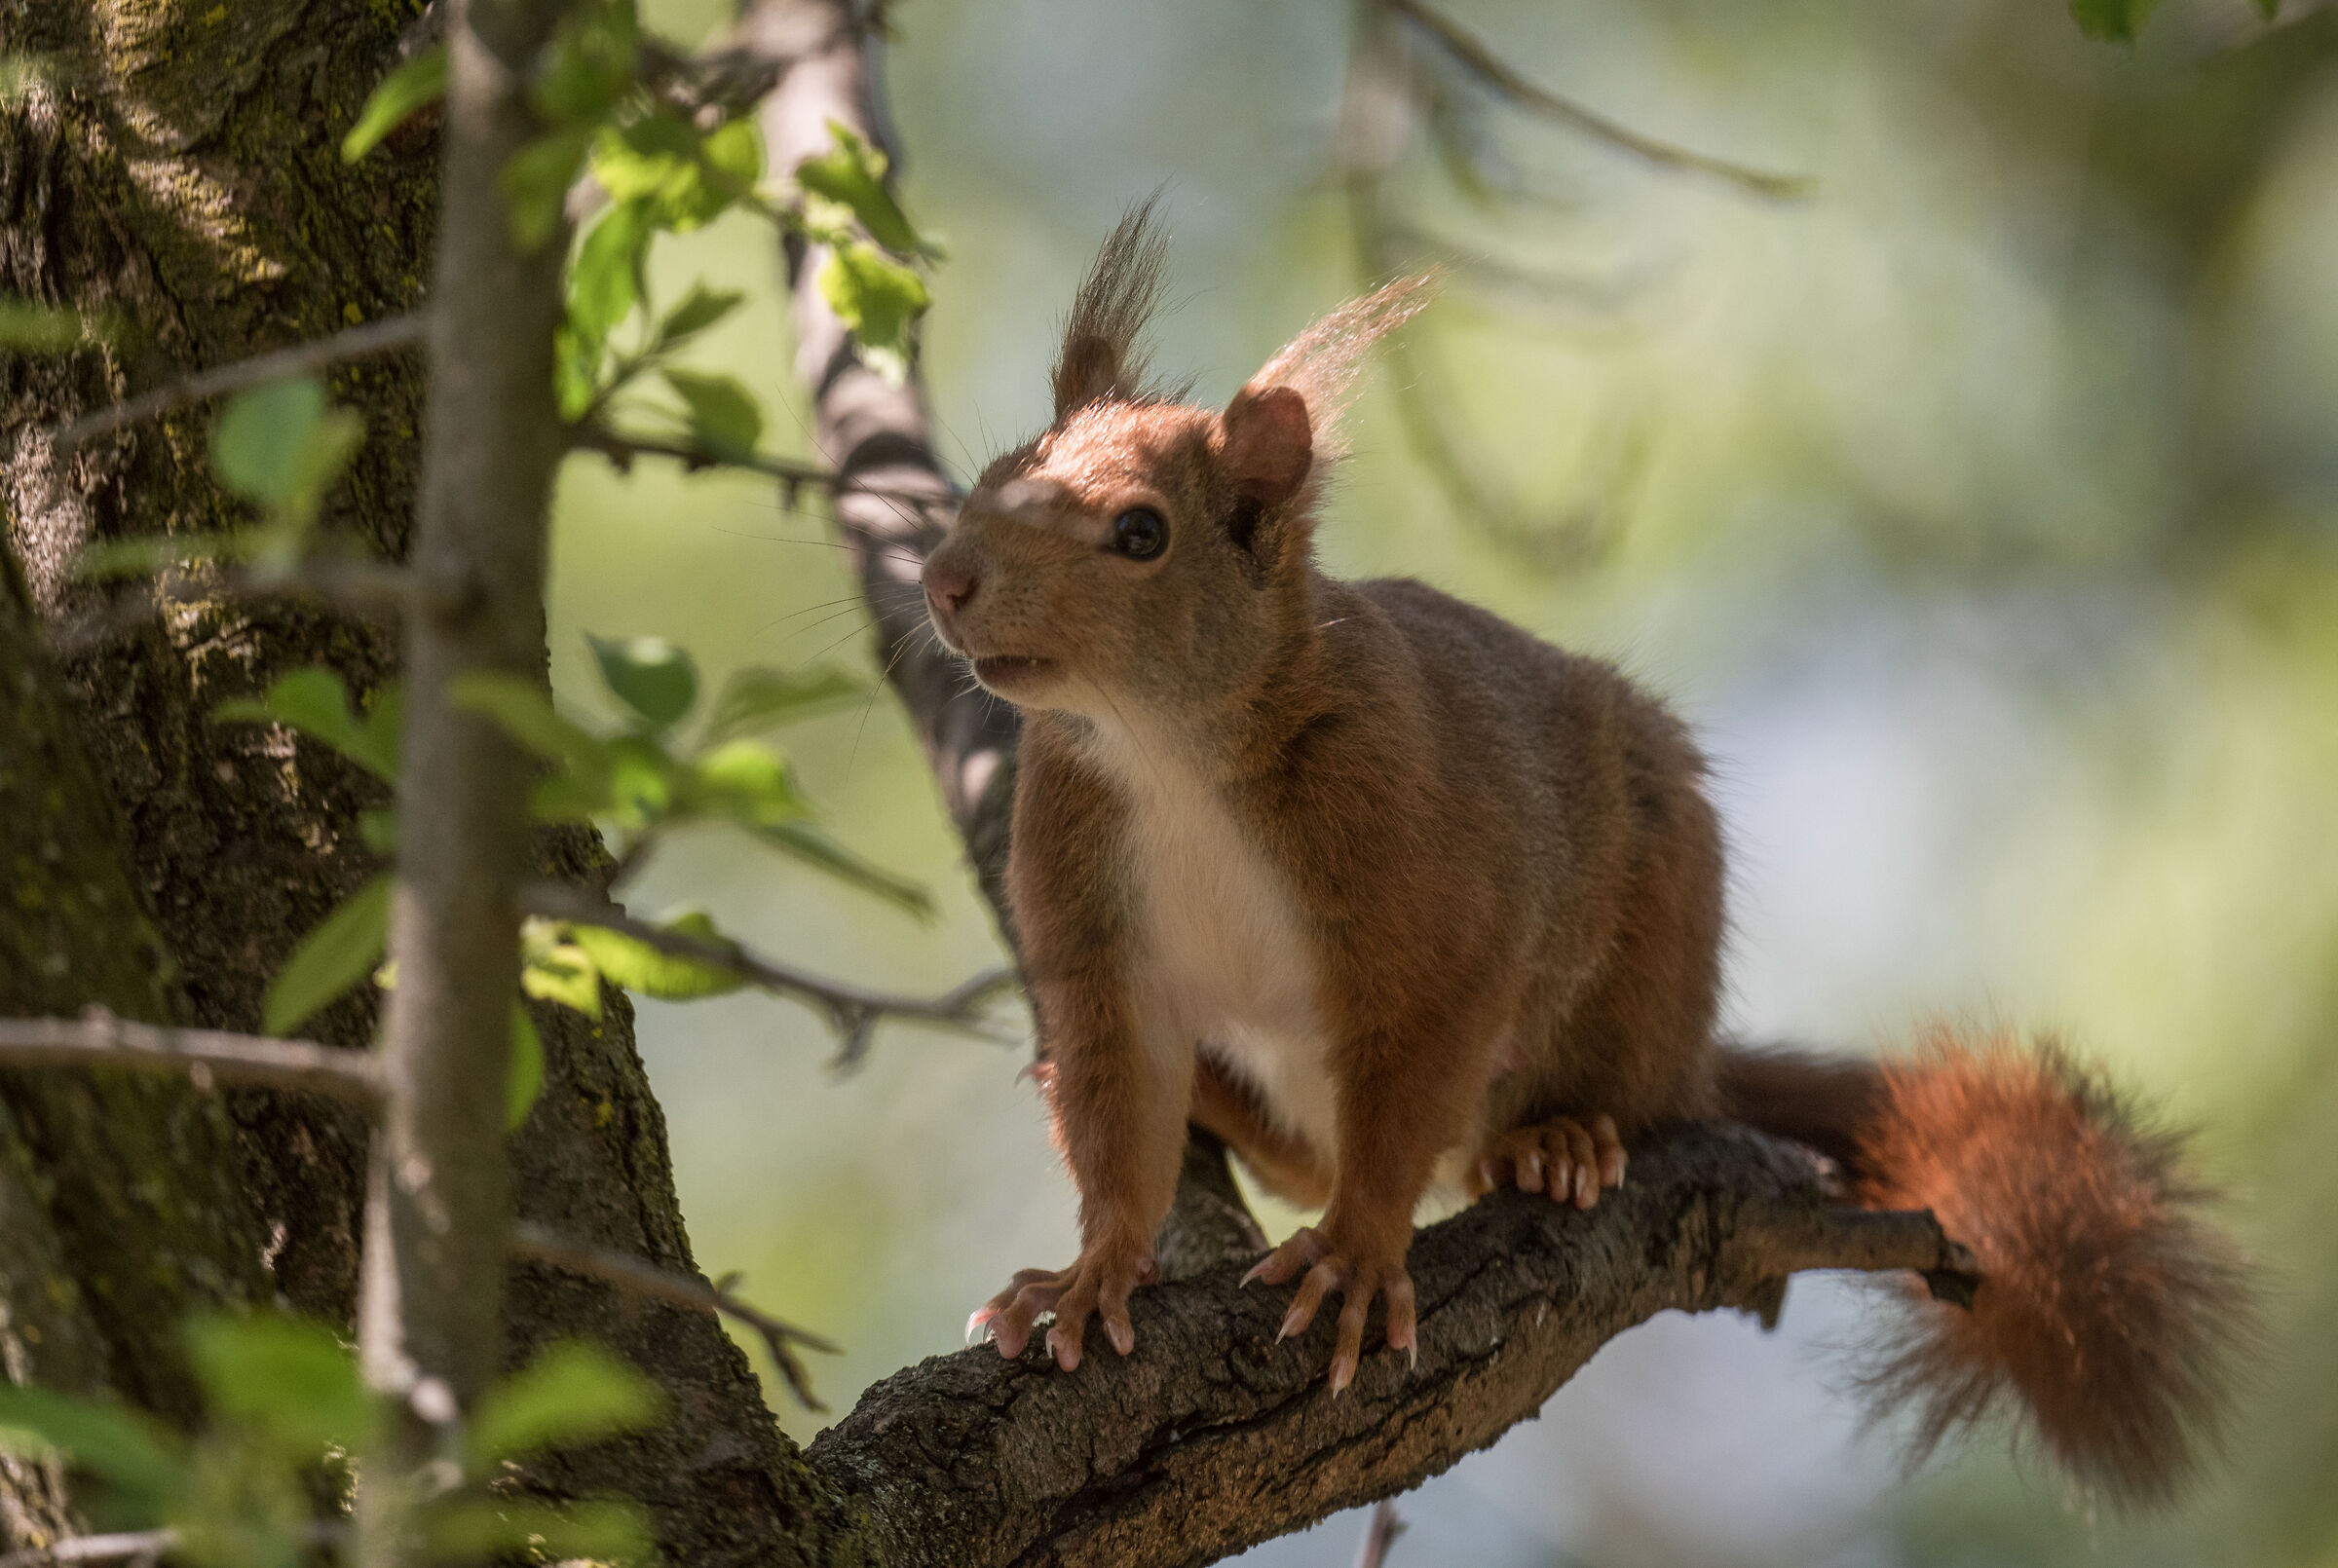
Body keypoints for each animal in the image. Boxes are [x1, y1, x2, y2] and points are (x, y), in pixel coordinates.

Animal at [924, 201, 2255, 1505]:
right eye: (991, 478)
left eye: (1139, 532)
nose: (945, 577)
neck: (1168, 754)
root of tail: (1693, 1060)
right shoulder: (1091, 912)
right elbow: (1115, 1095)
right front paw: (1089, 1273)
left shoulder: (1427, 872)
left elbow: (1413, 1072)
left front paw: (1355, 1253)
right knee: (1289, 1146)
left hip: (1648, 938)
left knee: (1543, 1107)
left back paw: (1556, 1139)